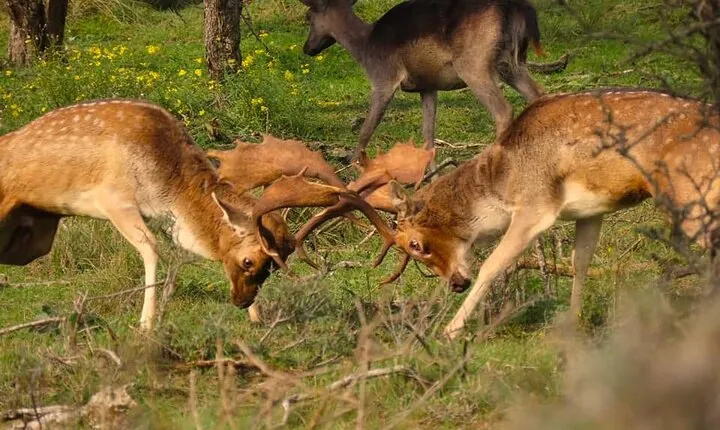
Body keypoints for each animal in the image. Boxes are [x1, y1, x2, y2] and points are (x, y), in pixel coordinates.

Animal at [0, 102, 393, 330]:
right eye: (248, 261)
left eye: (272, 268)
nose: (243, 302)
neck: (165, 185)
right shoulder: (114, 200)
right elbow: (152, 249)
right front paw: (146, 323)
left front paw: (257, 318)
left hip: (34, 234)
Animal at [299, 0, 547, 162]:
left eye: (308, 16)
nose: (307, 48)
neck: (365, 48)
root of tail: (517, 9)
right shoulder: (428, 87)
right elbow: (428, 137)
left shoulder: (384, 78)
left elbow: (366, 130)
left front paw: (351, 170)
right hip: (512, 64)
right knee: (538, 95)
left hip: (474, 64)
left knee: (504, 109)